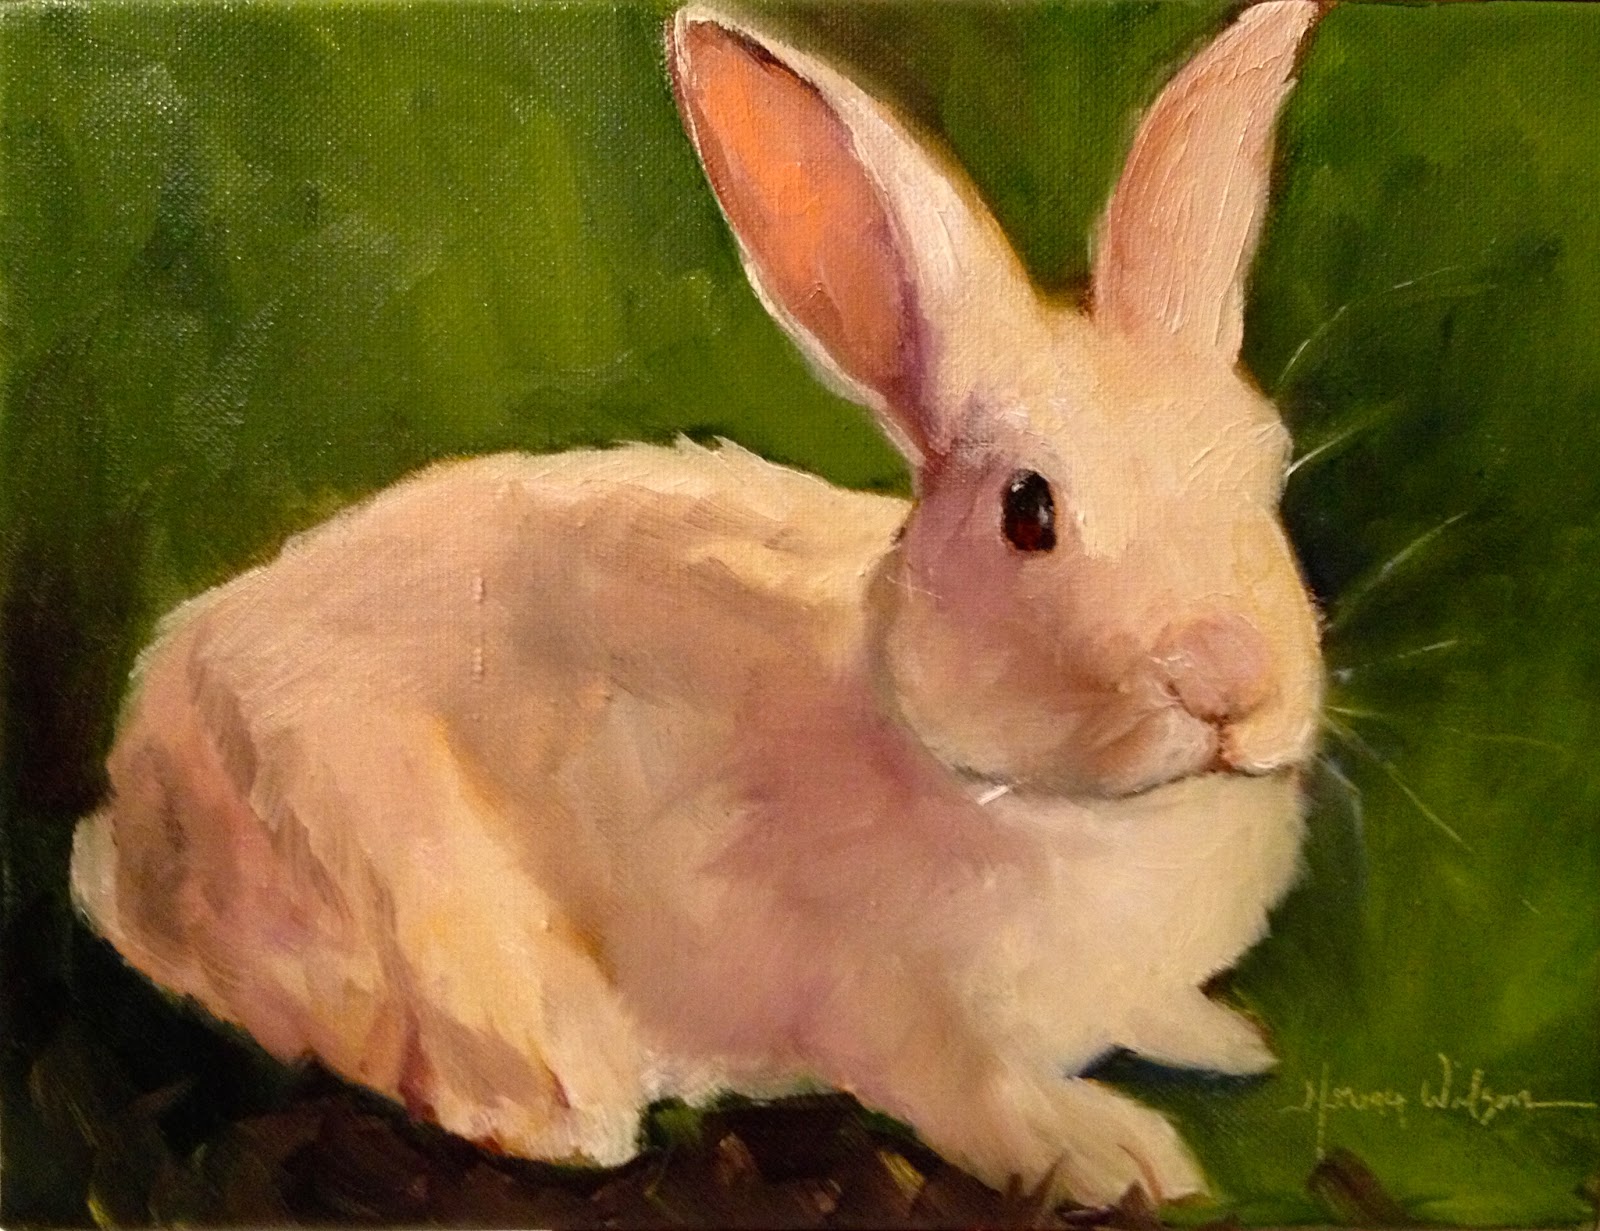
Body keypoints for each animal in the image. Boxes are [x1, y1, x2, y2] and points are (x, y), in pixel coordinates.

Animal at [70, 0, 1326, 1208]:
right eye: (1028, 511)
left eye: (1267, 466)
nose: (1229, 681)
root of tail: (129, 811)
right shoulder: (900, 1022)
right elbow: (986, 1099)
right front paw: (1126, 1155)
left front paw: (1227, 1040)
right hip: (393, 875)